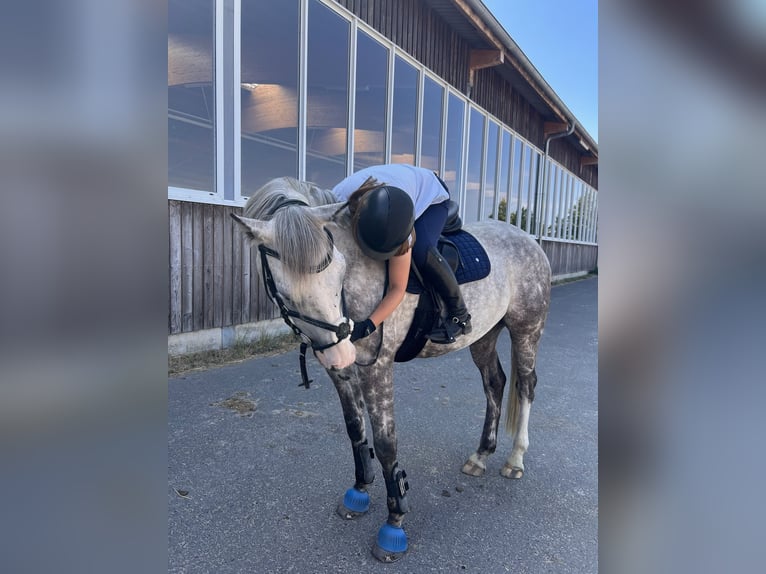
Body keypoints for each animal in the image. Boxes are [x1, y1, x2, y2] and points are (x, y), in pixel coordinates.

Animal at [231, 176, 551, 562]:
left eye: (338, 273)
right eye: (286, 293)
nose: (340, 351)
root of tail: (527, 239)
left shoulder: (377, 368)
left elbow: (386, 445)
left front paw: (394, 523)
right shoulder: (339, 370)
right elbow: (355, 430)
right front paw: (358, 491)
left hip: (526, 330)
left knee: (526, 386)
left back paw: (515, 459)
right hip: (484, 336)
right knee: (495, 383)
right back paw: (481, 455)